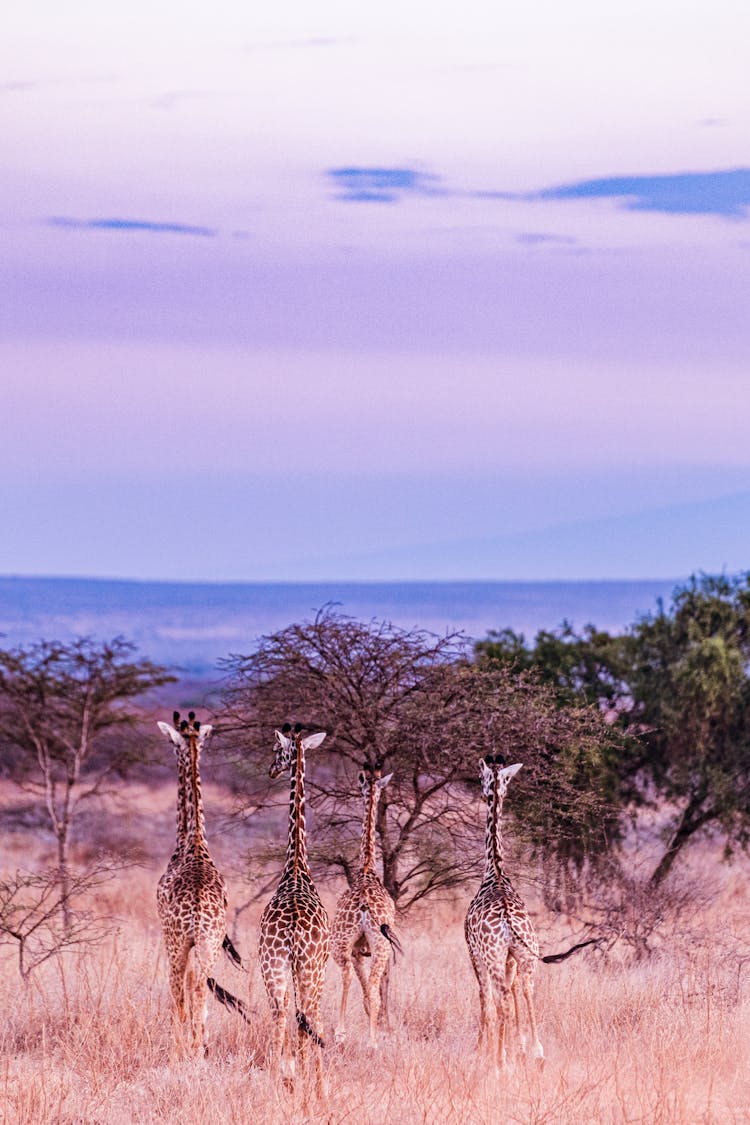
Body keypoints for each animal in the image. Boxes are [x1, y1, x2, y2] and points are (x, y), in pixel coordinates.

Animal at [330, 765, 402, 1044]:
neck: (367, 868)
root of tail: (362, 907)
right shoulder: (365, 949)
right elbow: (371, 989)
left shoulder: (357, 949)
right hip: (379, 945)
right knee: (370, 983)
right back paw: (371, 1041)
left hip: (343, 944)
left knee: (348, 975)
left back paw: (341, 1032)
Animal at [461, 751, 541, 1066]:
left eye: (480, 777)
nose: (483, 792)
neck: (494, 870)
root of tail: (509, 922)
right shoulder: (511, 960)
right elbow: (514, 996)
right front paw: (515, 1047)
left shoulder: (475, 953)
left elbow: (486, 1003)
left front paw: (480, 1052)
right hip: (527, 957)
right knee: (526, 991)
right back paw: (537, 1052)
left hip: (493, 957)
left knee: (502, 999)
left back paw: (499, 1065)